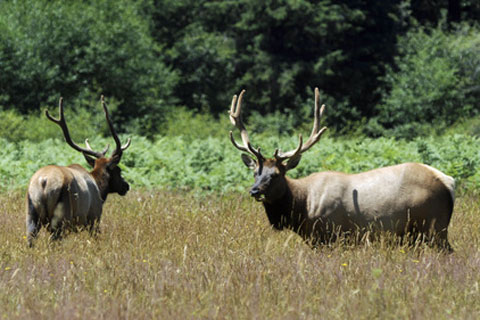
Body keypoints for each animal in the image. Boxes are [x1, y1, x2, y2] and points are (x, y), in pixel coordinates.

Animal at [25, 96, 131, 246]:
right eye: (118, 170)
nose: (126, 186)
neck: (100, 189)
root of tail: (43, 181)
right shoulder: (94, 217)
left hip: (31, 214)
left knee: (30, 239)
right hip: (62, 216)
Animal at [228, 88, 454, 250]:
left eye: (275, 175)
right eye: (255, 173)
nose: (254, 190)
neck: (302, 206)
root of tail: (449, 182)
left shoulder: (328, 236)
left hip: (434, 226)